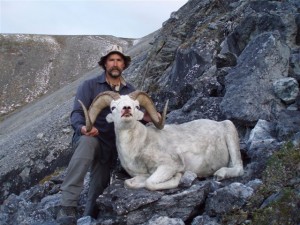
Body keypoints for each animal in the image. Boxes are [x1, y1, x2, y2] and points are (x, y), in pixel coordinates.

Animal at [79, 90, 244, 191]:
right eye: (113, 107)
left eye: (136, 106)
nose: (126, 109)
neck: (137, 148)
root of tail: (220, 124)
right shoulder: (140, 175)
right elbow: (130, 183)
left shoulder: (168, 166)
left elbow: (150, 184)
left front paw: (178, 177)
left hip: (230, 131)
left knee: (238, 168)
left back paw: (220, 174)